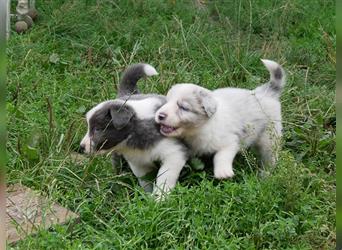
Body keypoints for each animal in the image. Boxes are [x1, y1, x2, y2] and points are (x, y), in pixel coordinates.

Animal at [80, 64, 187, 197]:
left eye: (98, 129)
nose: (81, 147)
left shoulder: (173, 153)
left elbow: (164, 179)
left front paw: (160, 198)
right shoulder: (138, 163)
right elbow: (145, 181)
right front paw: (146, 196)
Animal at [154, 59, 284, 179]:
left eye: (183, 107)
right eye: (166, 102)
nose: (160, 115)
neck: (201, 129)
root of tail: (265, 92)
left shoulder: (230, 141)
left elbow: (221, 155)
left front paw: (223, 172)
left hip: (269, 137)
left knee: (270, 156)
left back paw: (266, 174)